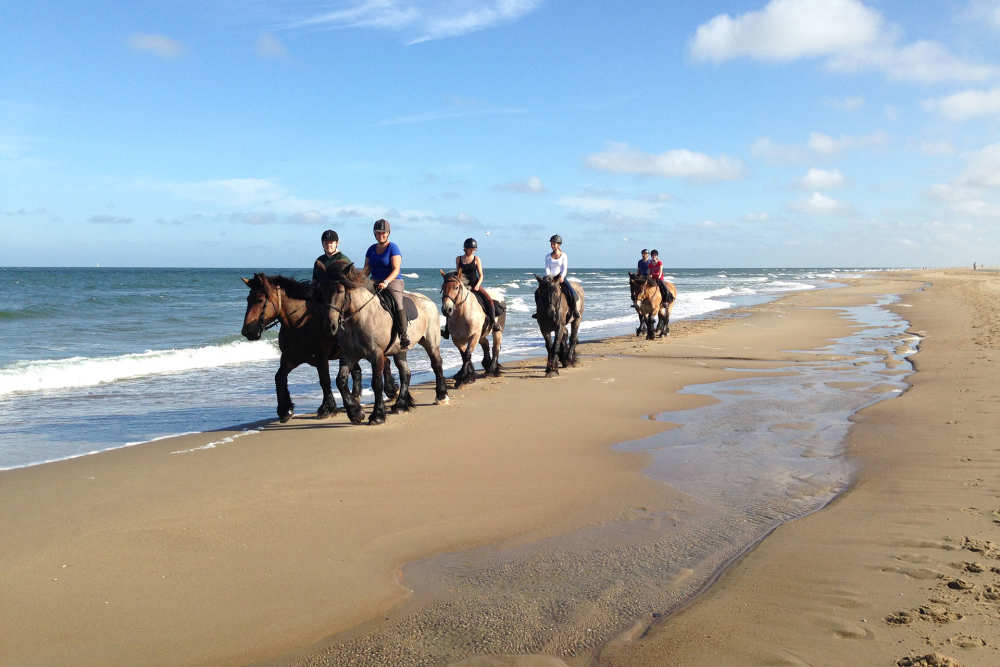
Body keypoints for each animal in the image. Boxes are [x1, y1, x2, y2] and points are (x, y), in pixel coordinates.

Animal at [240, 273, 396, 423]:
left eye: (260, 300)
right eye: (248, 299)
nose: (247, 331)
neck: (299, 325)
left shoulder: (321, 358)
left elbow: (324, 381)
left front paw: (328, 408)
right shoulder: (289, 359)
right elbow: (279, 378)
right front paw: (285, 410)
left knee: (385, 363)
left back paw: (390, 391)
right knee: (358, 371)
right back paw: (357, 397)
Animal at [328, 270, 450, 425]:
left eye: (340, 292)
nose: (331, 325)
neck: (361, 317)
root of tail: (429, 301)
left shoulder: (377, 356)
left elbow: (377, 383)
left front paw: (377, 415)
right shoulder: (348, 356)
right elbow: (340, 381)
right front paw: (356, 413)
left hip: (431, 343)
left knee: (437, 364)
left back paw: (441, 396)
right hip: (400, 350)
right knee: (405, 373)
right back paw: (400, 405)